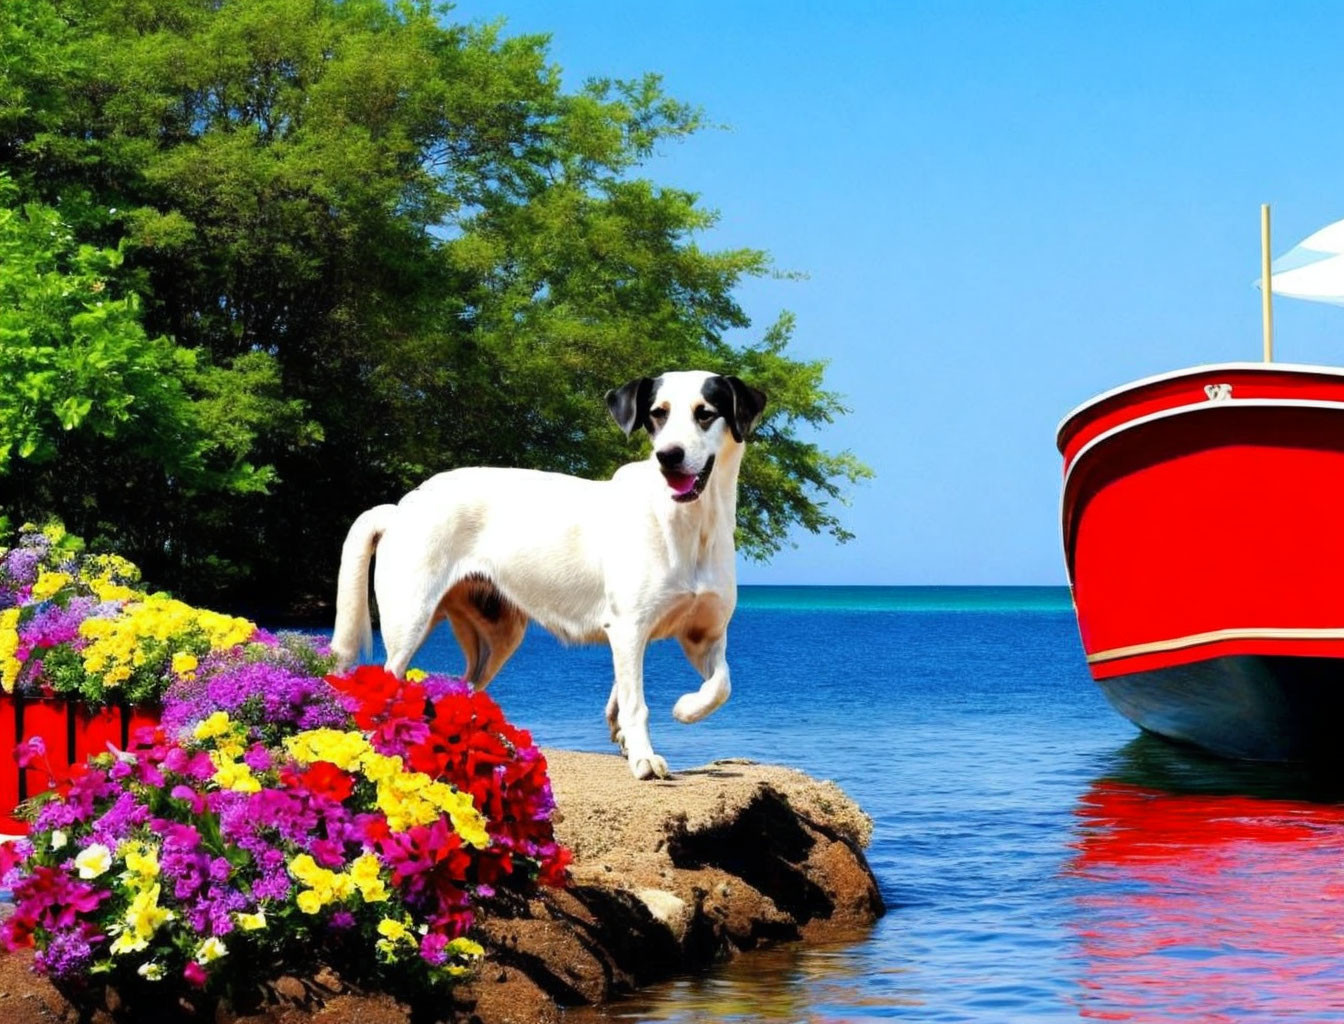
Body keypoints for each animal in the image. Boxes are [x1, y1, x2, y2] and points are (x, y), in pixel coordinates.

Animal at [333, 370, 768, 779]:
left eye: (705, 413)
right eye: (657, 414)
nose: (668, 456)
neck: (694, 522)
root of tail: (400, 507)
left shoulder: (703, 634)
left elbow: (721, 685)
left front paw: (682, 710)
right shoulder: (629, 628)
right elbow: (636, 703)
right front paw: (645, 757)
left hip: (498, 634)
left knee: (465, 690)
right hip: (410, 618)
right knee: (390, 683)